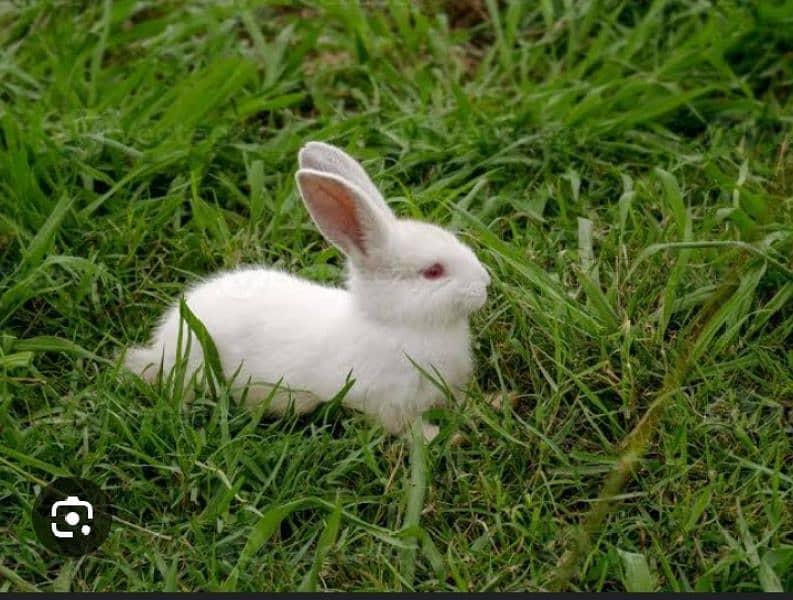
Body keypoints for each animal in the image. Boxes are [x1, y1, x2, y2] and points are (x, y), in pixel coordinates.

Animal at [124, 141, 488, 436]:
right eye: (433, 271)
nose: (485, 284)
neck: (398, 325)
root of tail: (160, 345)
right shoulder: (387, 402)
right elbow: (406, 429)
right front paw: (443, 436)